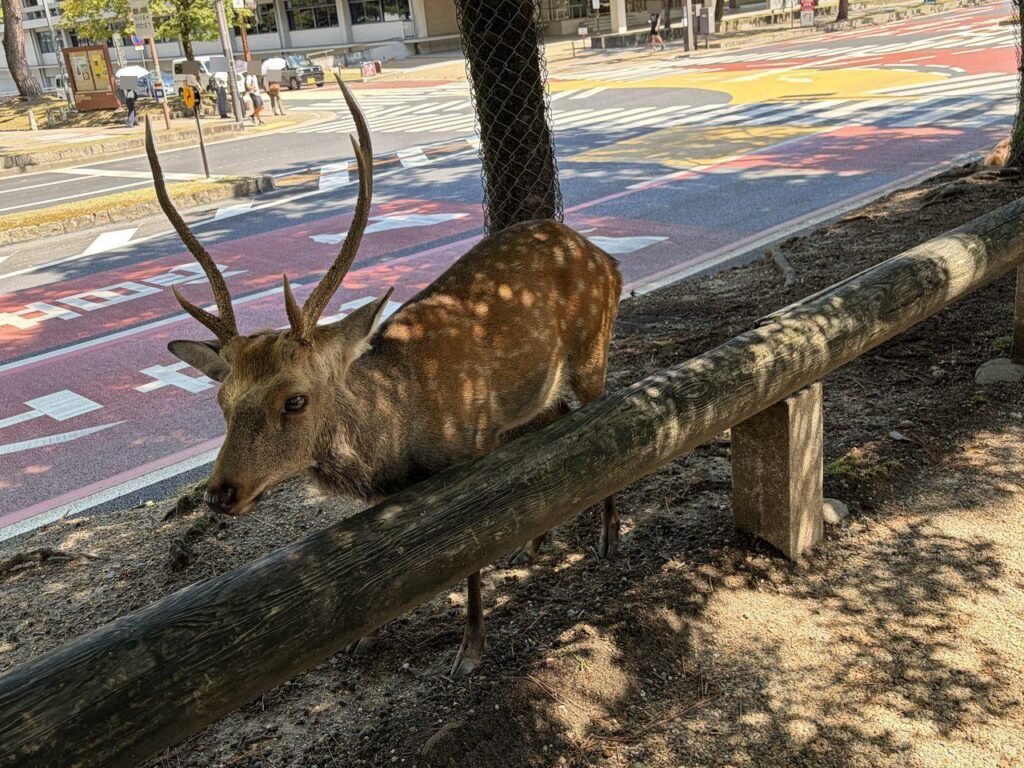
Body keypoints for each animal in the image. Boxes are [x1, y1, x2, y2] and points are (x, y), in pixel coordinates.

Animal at [148, 76, 623, 679]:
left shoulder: (469, 455)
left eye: (295, 400)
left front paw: (470, 649)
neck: (399, 443)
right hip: (533, 398)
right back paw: (532, 546)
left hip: (594, 350)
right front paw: (363, 639)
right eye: (221, 402)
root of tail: (604, 254)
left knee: (605, 426)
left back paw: (608, 538)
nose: (219, 494)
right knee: (557, 420)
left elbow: (468, 563)